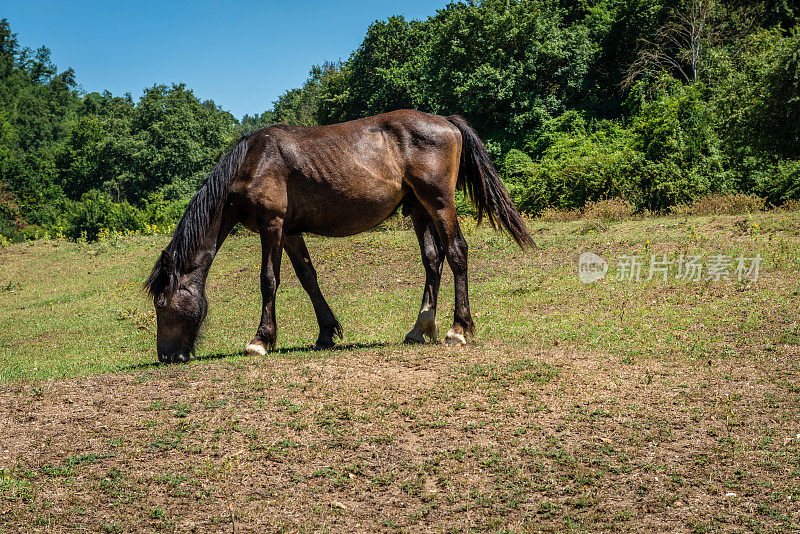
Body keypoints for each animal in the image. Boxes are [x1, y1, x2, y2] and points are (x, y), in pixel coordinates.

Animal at [145, 109, 532, 364]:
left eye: (162, 305)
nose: (167, 357)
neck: (254, 161)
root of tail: (447, 122)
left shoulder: (273, 225)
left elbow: (268, 280)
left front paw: (260, 340)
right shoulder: (290, 232)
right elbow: (307, 278)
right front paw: (326, 333)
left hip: (439, 203)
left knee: (456, 252)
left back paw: (458, 329)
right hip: (419, 209)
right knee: (432, 261)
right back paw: (420, 328)